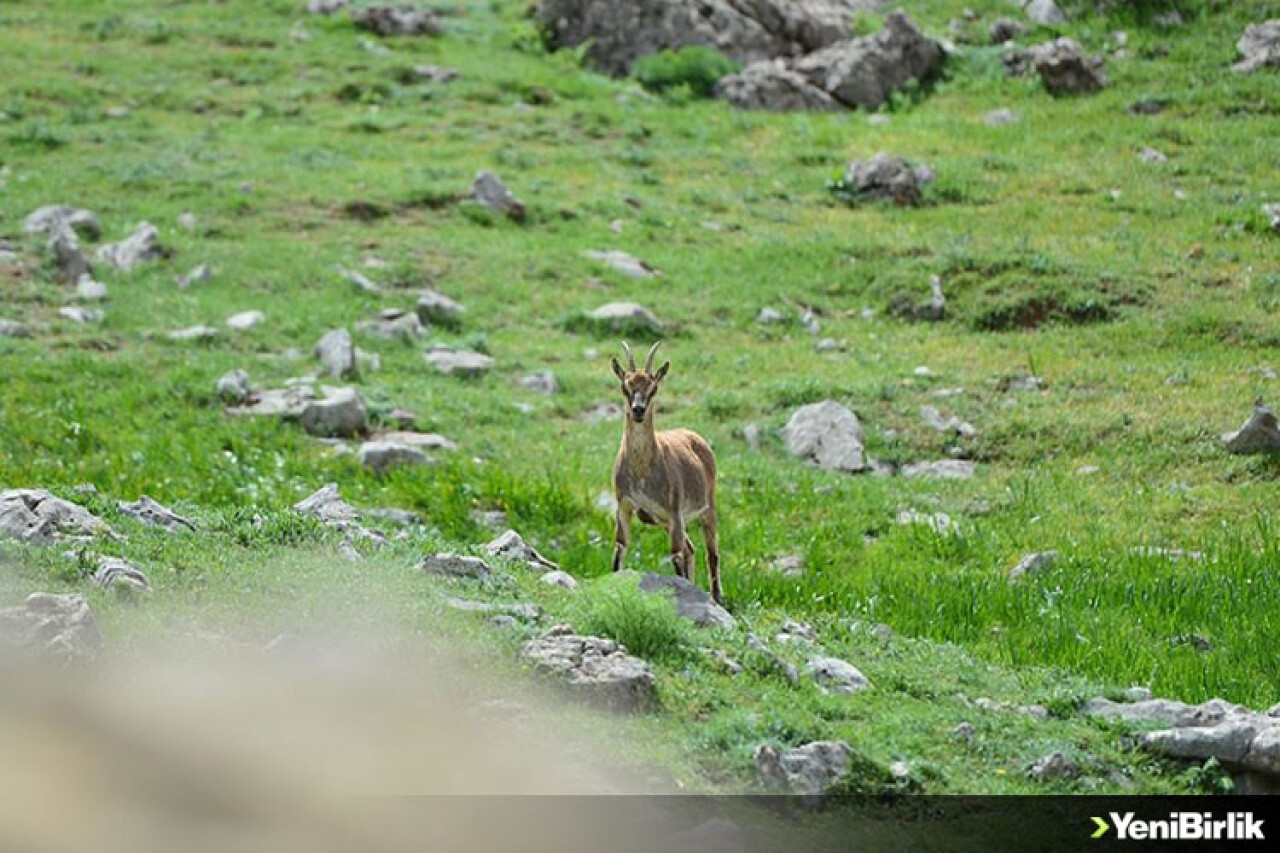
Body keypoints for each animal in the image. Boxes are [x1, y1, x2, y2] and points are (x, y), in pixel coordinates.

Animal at [609, 338, 721, 596]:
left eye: (653, 388)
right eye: (625, 386)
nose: (638, 410)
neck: (642, 470)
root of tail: (697, 438)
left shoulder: (674, 510)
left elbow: (676, 555)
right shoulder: (625, 505)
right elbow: (620, 547)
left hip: (705, 509)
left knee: (712, 554)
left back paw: (717, 598)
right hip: (666, 522)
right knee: (691, 549)